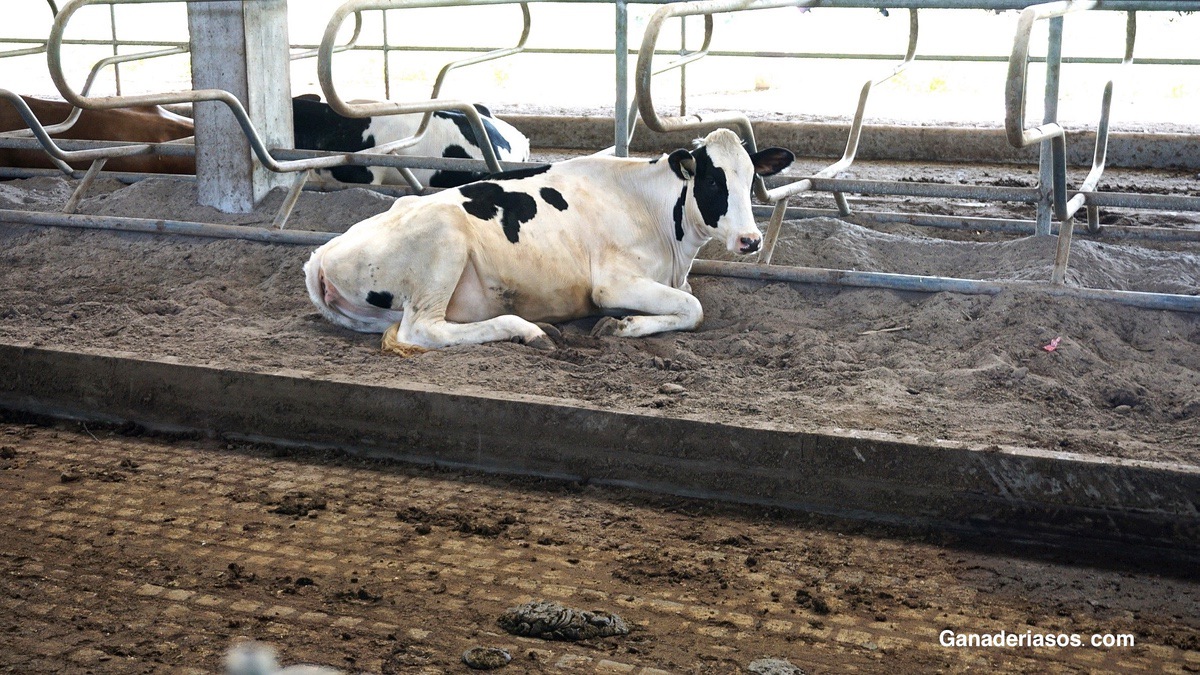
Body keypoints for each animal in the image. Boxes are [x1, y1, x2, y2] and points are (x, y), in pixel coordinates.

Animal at [307, 127, 796, 355]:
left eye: (752, 178)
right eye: (713, 182)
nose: (750, 240)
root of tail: (323, 252)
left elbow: (689, 302)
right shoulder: (612, 283)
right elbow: (693, 309)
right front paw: (622, 326)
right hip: (442, 244)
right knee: (423, 329)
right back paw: (530, 330)